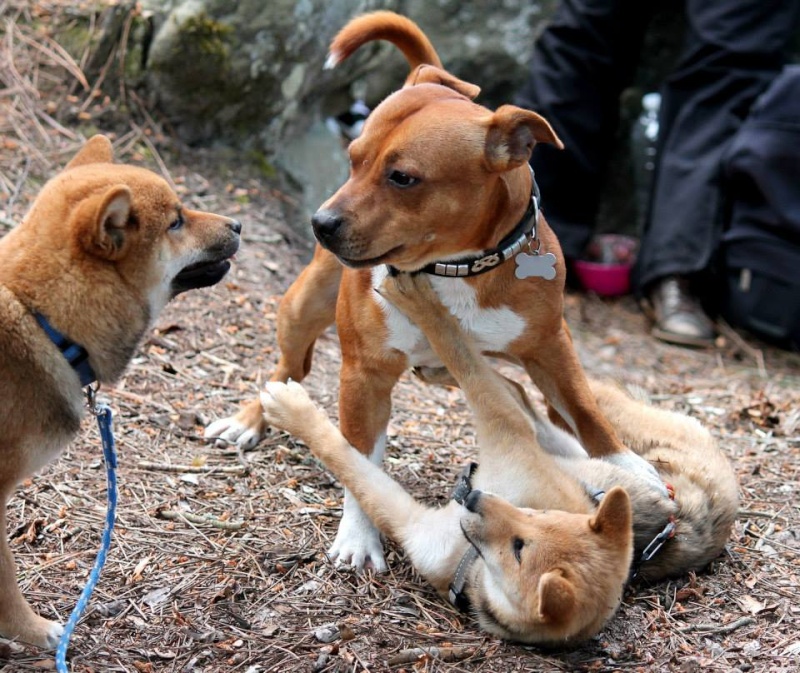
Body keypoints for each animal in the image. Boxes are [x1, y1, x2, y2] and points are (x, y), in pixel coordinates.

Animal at [260, 272, 740, 644]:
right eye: (540, 515)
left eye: (519, 549)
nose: (473, 500)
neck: (471, 569)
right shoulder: (513, 438)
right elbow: (469, 357)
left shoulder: (479, 450)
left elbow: (348, 457)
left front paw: (290, 407)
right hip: (570, 448)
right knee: (523, 393)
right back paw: (437, 369)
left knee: (507, 387)